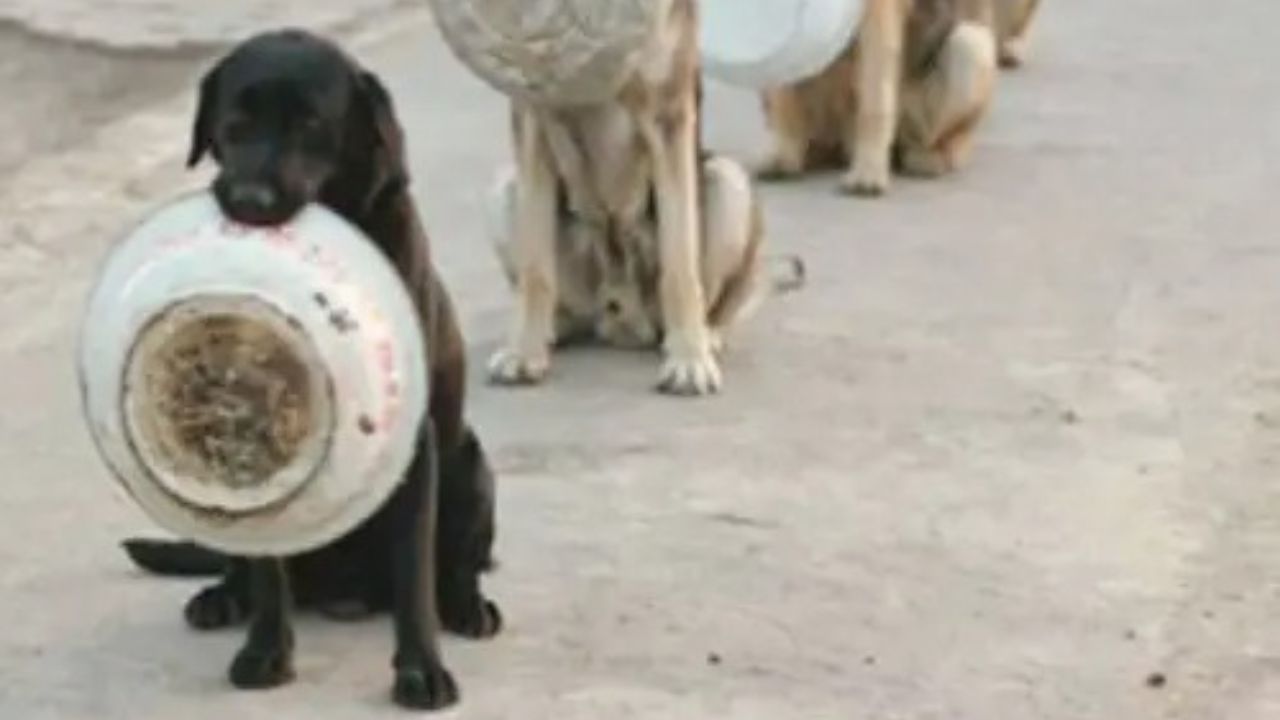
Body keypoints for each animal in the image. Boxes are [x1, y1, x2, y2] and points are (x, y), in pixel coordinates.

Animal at [120, 29, 499, 707]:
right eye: (235, 123)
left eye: (312, 125)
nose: (248, 202)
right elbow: (269, 574)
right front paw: (266, 652)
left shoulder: (415, 446)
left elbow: (414, 576)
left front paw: (421, 671)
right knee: (243, 567)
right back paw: (222, 598)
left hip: (472, 469)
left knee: (456, 566)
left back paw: (467, 607)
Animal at [486, 0, 768, 392]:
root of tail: (621, 315)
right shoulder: (533, 117)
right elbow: (535, 269)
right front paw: (523, 353)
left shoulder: (669, 116)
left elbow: (680, 266)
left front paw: (689, 360)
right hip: (504, 188)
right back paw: (553, 330)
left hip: (728, 181)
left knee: (714, 303)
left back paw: (704, 336)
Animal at [752, 0, 1003, 194]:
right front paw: (784, 156)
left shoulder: (878, 12)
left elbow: (874, 101)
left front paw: (868, 170)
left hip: (971, 45)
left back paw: (927, 158)